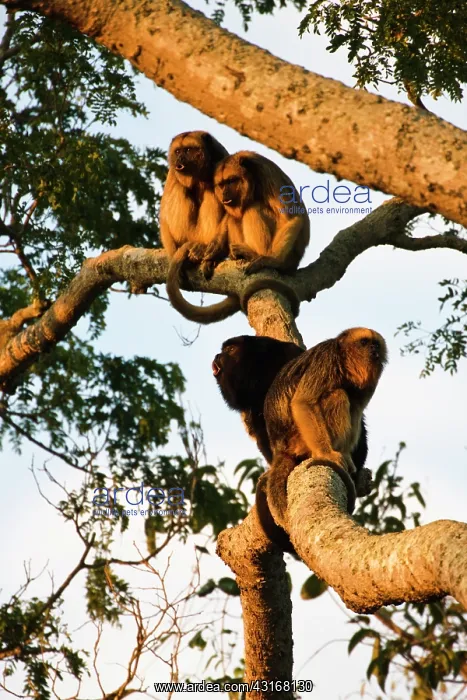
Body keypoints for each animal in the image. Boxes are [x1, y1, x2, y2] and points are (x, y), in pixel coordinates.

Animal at [262, 327, 387, 539]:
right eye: (364, 342)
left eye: (375, 344)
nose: (373, 349)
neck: (345, 362)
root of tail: (279, 446)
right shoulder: (326, 360)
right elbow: (304, 401)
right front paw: (327, 453)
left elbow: (357, 410)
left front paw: (346, 455)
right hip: (298, 439)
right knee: (338, 395)